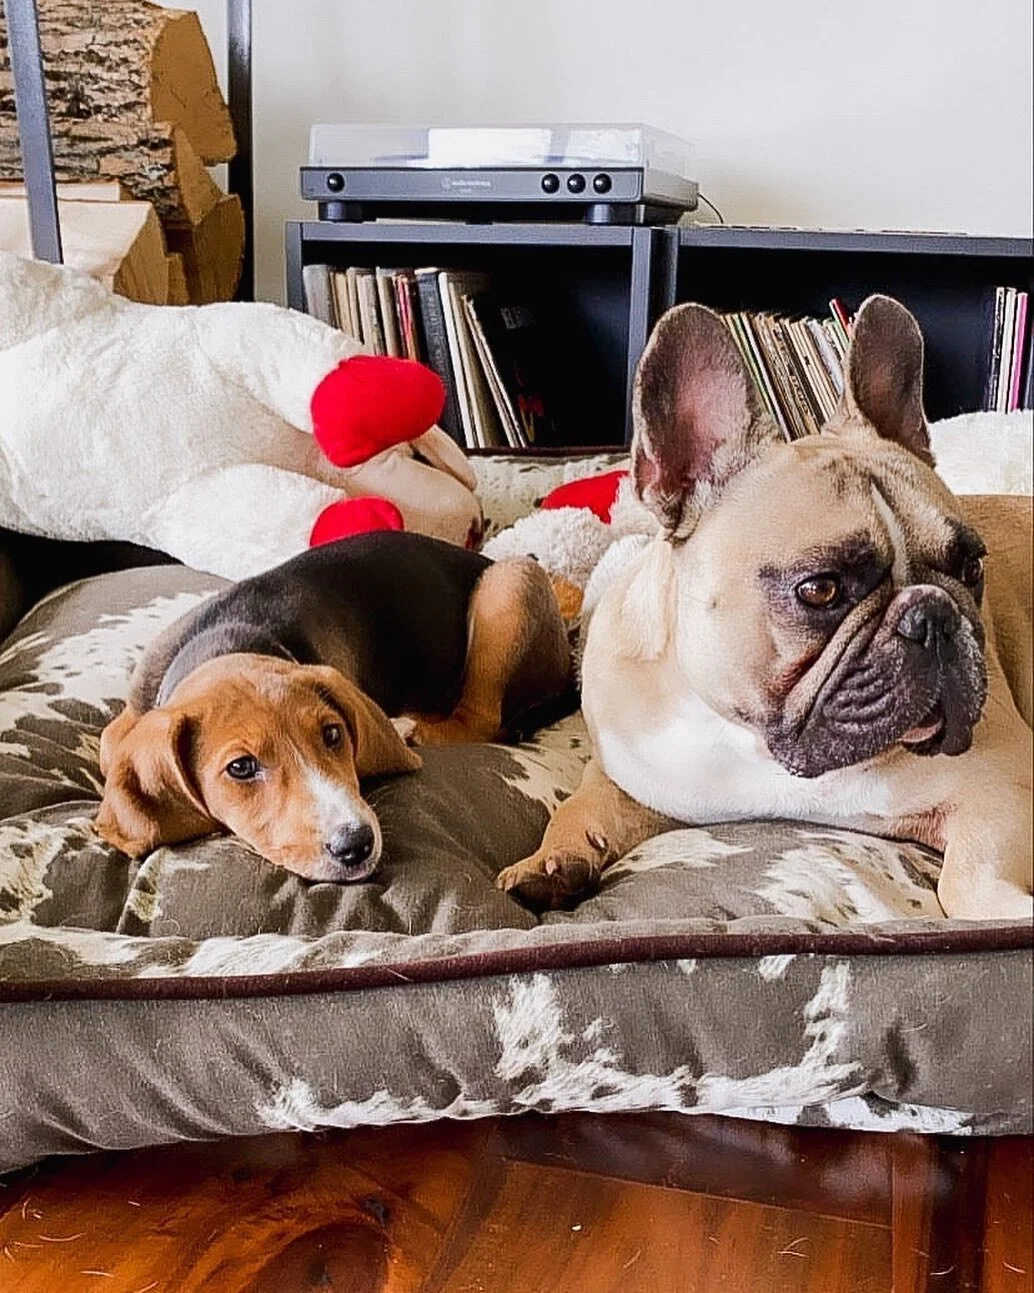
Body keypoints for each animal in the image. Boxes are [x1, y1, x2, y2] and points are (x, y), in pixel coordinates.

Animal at [96, 530, 573, 884]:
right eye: (241, 768)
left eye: (332, 734)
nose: (356, 845)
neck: (226, 641)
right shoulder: (132, 713)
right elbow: (108, 740)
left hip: (510, 583)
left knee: (479, 720)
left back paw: (410, 727)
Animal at [496, 296, 1028, 920]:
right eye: (820, 590)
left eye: (972, 569)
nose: (935, 615)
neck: (752, 743)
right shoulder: (628, 776)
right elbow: (581, 804)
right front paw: (549, 862)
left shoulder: (1002, 786)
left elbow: (968, 880)